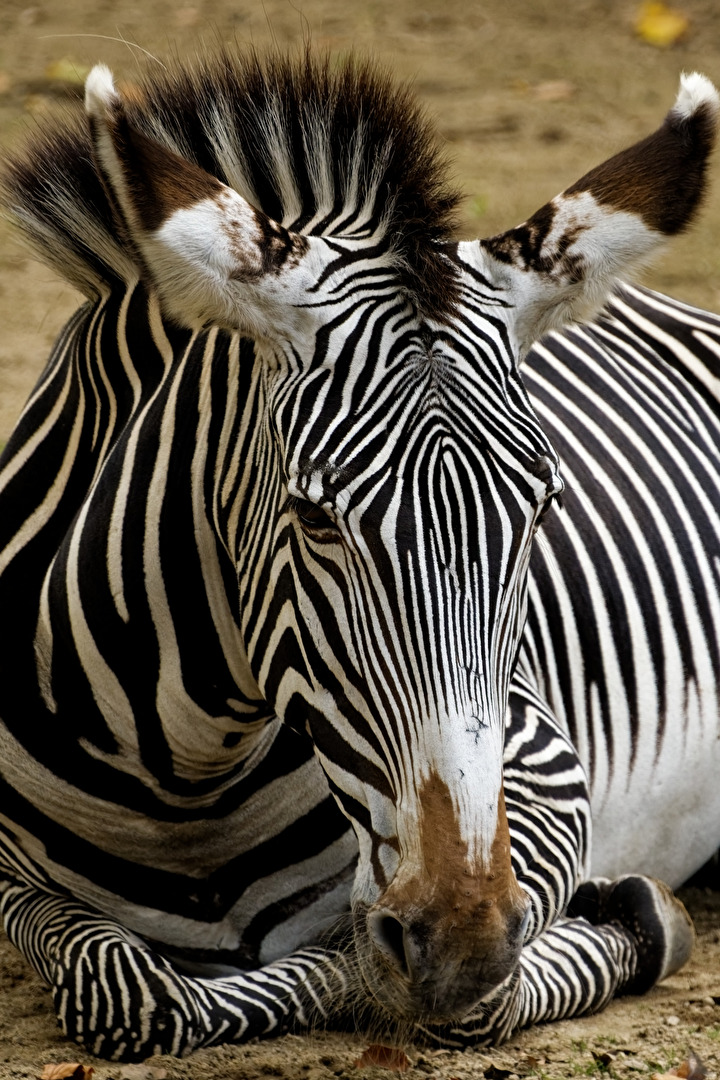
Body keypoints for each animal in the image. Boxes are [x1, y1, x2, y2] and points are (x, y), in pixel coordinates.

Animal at [0, 48, 717, 1061]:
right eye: (314, 517)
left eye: (542, 512)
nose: (459, 941)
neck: (181, 779)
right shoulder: (15, 885)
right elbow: (128, 991)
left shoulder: (540, 768)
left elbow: (383, 972)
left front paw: (634, 919)